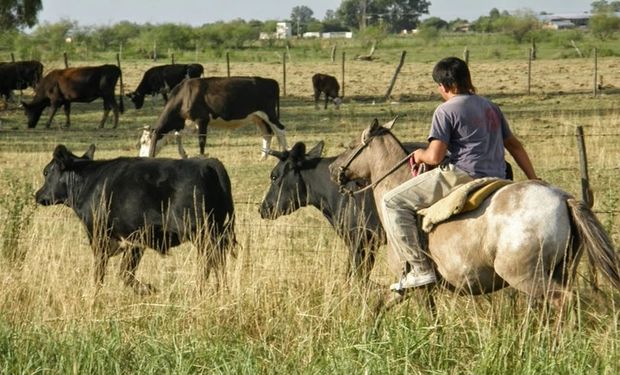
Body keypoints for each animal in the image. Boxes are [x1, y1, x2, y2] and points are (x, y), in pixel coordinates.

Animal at [35, 145, 235, 296]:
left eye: (46, 172)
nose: (37, 195)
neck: (89, 182)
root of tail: (208, 163)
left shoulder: (100, 236)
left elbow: (102, 272)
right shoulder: (135, 242)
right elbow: (125, 272)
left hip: (201, 232)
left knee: (209, 260)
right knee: (218, 262)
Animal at [140, 75, 288, 159]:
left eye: (144, 141)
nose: (141, 157)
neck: (185, 96)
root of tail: (270, 81)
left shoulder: (202, 119)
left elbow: (201, 140)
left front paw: (202, 156)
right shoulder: (188, 123)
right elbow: (178, 136)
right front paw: (184, 154)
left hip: (269, 113)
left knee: (280, 129)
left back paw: (285, 153)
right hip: (257, 117)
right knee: (267, 133)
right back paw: (263, 157)